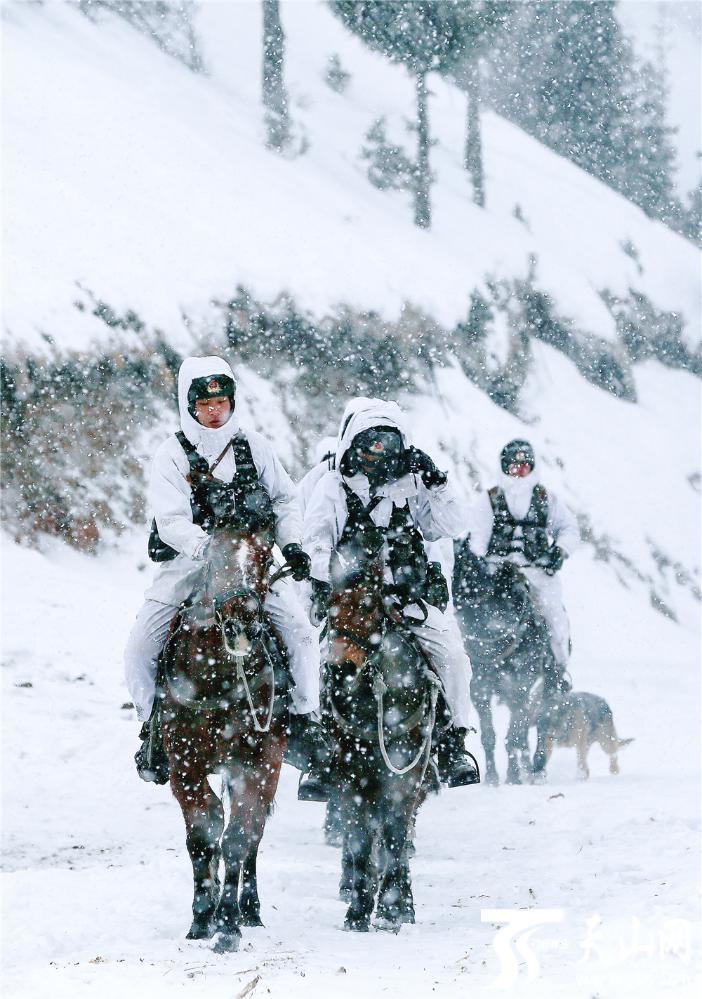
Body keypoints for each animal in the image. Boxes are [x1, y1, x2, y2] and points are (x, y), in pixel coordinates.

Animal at [160, 524, 288, 952]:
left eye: (265, 557)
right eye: (215, 555)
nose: (242, 625)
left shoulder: (257, 764)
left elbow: (238, 836)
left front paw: (228, 924)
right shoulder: (184, 766)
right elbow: (203, 833)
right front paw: (203, 919)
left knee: (254, 834)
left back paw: (249, 909)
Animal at [326, 536, 440, 932]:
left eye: (369, 607)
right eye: (328, 611)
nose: (341, 669)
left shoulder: (404, 776)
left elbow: (394, 834)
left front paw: (392, 909)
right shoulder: (351, 776)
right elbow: (360, 838)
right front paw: (358, 910)